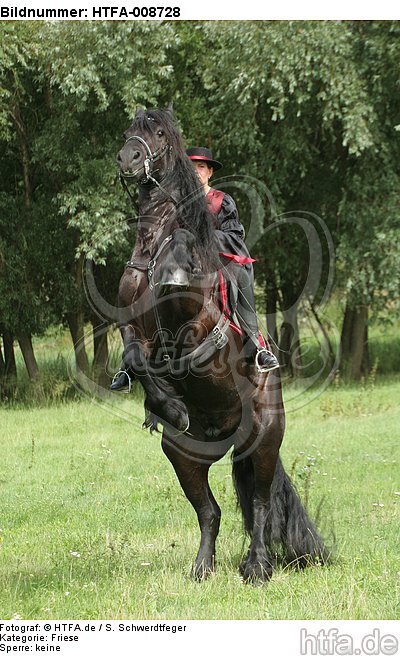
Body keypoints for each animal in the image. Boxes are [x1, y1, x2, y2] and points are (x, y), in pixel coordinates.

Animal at [115, 106, 327, 582]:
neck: (154, 247)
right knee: (209, 511)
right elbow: (136, 358)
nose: (128, 159)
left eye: (158, 133)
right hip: (184, 456)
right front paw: (165, 406)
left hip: (263, 441)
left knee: (262, 505)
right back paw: (202, 569)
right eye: (129, 131)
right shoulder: (131, 328)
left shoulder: (196, 324)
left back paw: (258, 567)